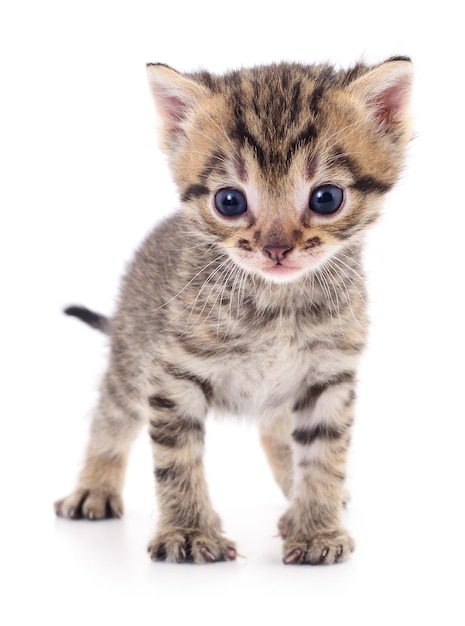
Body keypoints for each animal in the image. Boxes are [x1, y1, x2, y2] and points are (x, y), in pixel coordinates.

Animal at [55, 58, 414, 564]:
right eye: (230, 201)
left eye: (326, 198)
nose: (276, 249)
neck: (279, 305)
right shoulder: (172, 375)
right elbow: (176, 459)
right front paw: (188, 532)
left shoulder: (328, 375)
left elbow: (323, 454)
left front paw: (316, 528)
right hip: (131, 355)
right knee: (110, 418)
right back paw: (94, 487)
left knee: (274, 429)